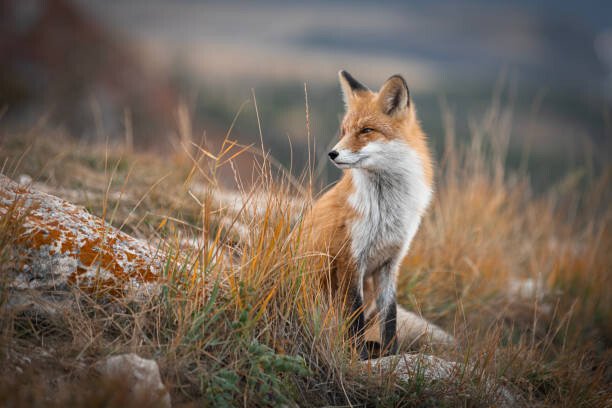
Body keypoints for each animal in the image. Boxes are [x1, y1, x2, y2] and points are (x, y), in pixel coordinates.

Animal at [302, 70, 450, 356]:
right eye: (344, 131)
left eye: (366, 130)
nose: (332, 153)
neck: (386, 210)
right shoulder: (351, 260)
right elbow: (354, 318)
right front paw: (358, 357)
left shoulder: (390, 263)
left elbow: (390, 317)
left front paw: (391, 355)